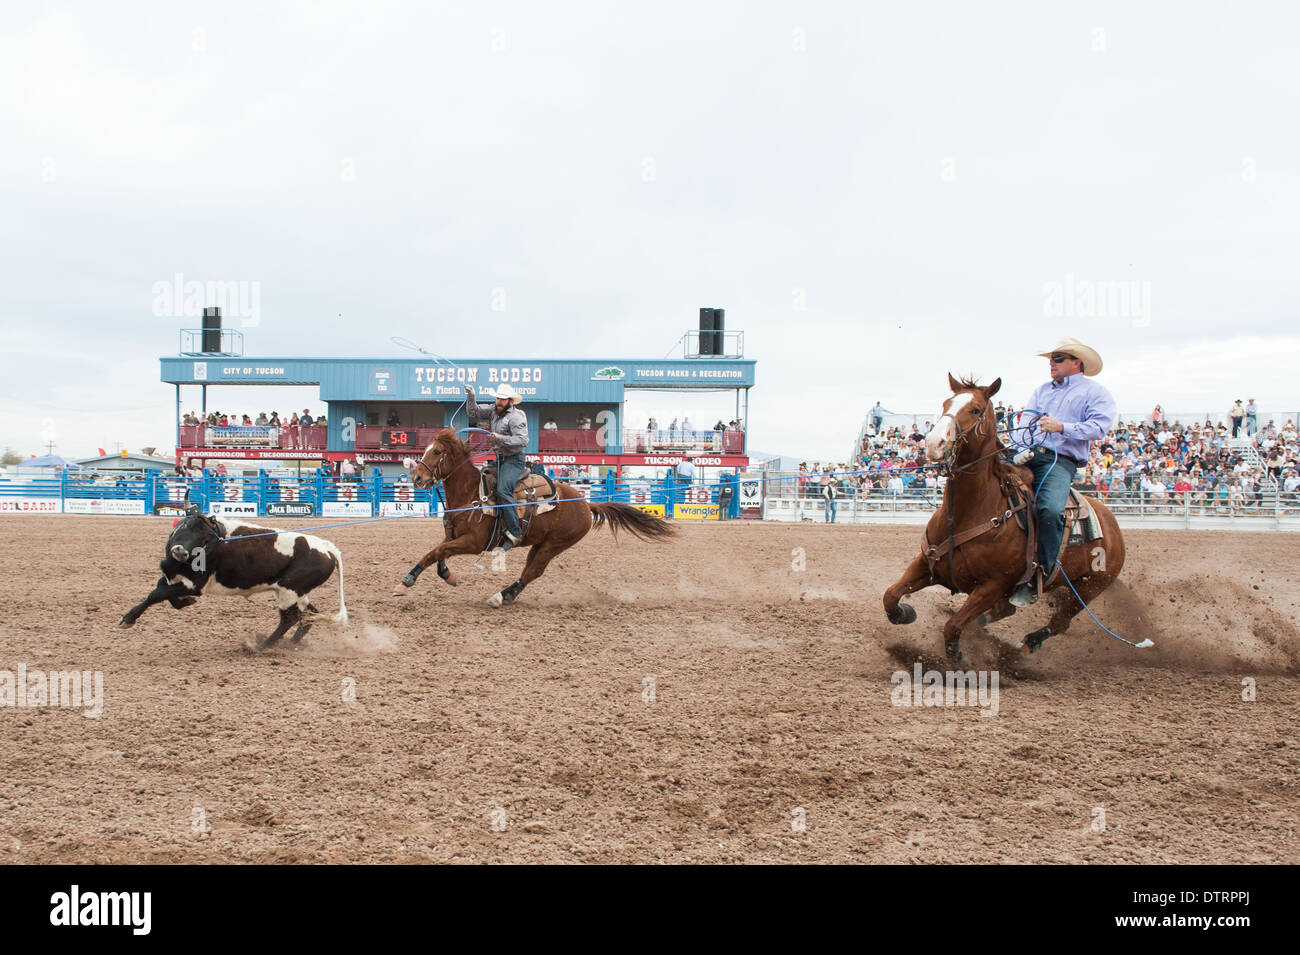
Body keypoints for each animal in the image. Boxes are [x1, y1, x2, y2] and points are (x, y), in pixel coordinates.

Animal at [390, 431, 676, 605]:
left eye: (437, 452)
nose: (417, 478)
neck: (471, 493)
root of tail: (585, 503)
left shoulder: (474, 543)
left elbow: (436, 551)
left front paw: (406, 582)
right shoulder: (452, 535)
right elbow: (437, 553)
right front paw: (446, 576)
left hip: (554, 545)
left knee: (534, 571)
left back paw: (501, 596)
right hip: (539, 543)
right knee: (529, 570)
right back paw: (507, 595)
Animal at [883, 376, 1128, 660]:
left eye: (975, 409)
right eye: (946, 403)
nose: (934, 443)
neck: (970, 512)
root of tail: (1112, 525)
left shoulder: (994, 586)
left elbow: (953, 626)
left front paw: (957, 655)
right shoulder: (927, 562)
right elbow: (890, 596)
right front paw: (906, 613)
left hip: (1089, 589)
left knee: (1060, 622)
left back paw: (1029, 642)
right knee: (1007, 611)